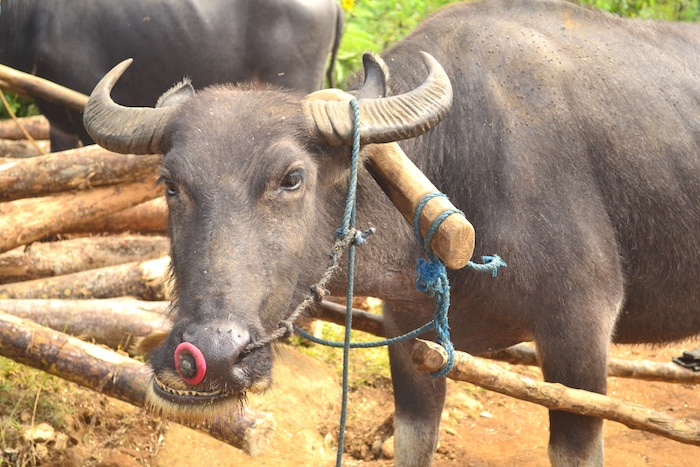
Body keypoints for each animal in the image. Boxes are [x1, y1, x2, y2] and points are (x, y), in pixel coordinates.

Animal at [83, 0, 700, 466]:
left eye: (291, 178)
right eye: (170, 184)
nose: (204, 356)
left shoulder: (581, 335)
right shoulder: (410, 333)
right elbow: (413, 441)